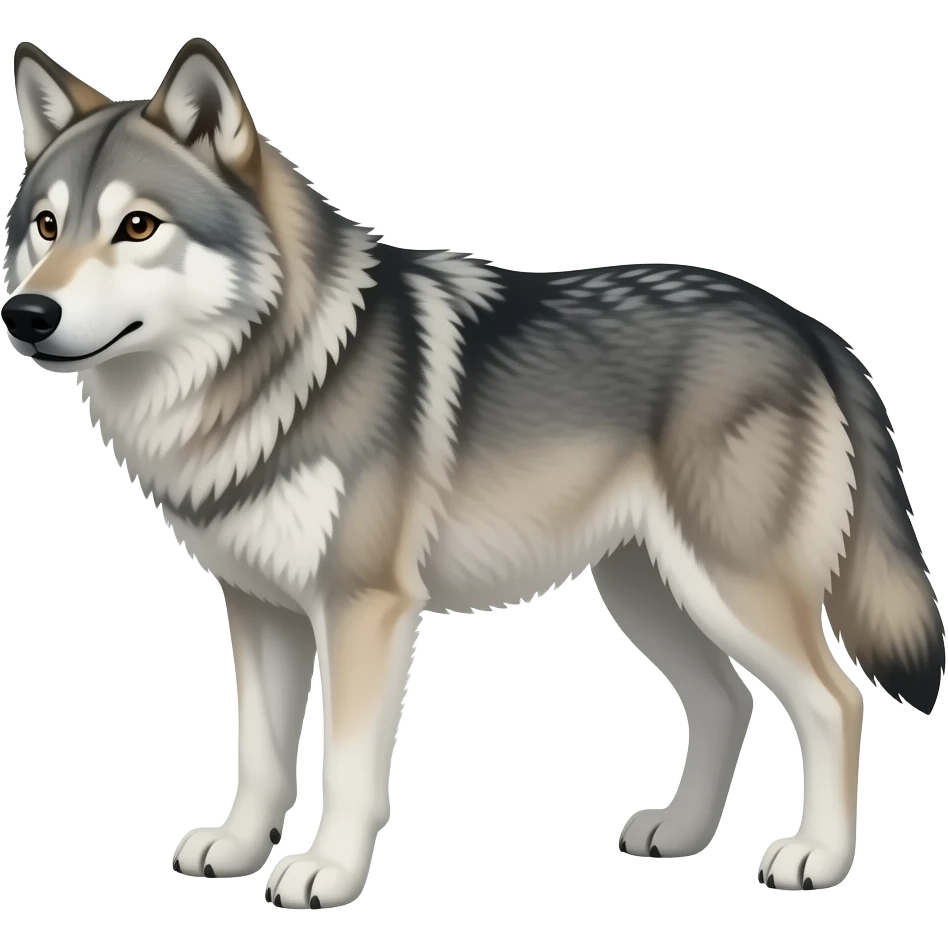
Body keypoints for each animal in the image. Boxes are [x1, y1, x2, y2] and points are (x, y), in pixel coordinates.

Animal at [3, 37, 944, 908]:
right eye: (46, 226)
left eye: (137, 226)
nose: (26, 313)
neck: (269, 374)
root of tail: (807, 326)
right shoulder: (260, 607)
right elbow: (261, 755)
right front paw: (237, 851)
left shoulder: (363, 607)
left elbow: (346, 763)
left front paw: (327, 872)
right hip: (649, 591)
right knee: (727, 700)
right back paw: (679, 833)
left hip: (729, 587)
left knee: (835, 700)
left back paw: (815, 858)